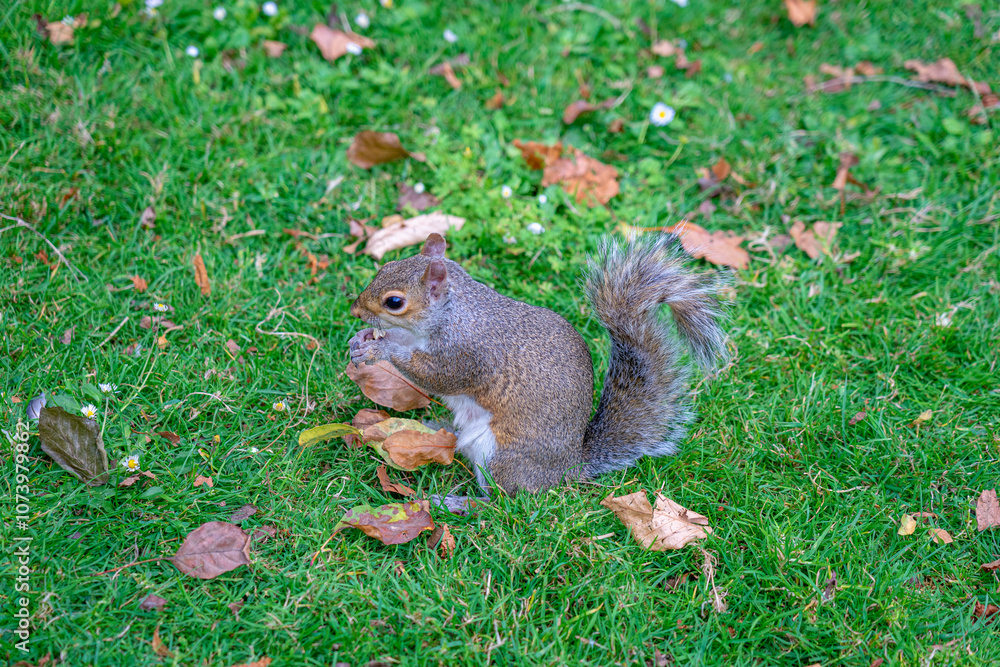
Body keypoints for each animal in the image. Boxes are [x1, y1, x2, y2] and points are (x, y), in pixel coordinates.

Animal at [348, 233, 727, 494]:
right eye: (384, 267)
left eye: (394, 302)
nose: (355, 309)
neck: (452, 313)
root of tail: (568, 469)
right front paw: (363, 339)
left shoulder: (467, 355)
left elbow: (437, 377)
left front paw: (382, 351)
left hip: (502, 456)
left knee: (501, 501)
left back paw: (457, 502)